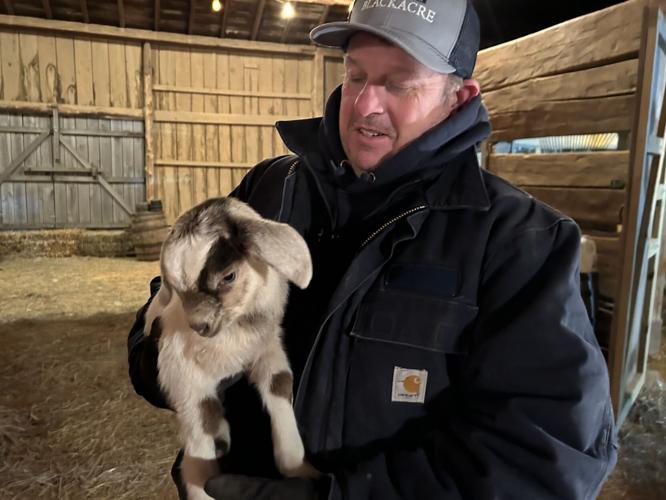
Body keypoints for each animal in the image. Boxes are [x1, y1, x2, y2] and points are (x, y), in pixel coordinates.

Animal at [143, 197, 315, 500]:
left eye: (228, 276)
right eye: (175, 289)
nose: (200, 325)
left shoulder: (267, 346)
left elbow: (280, 382)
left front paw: (296, 465)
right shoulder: (181, 371)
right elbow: (201, 425)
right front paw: (203, 485)